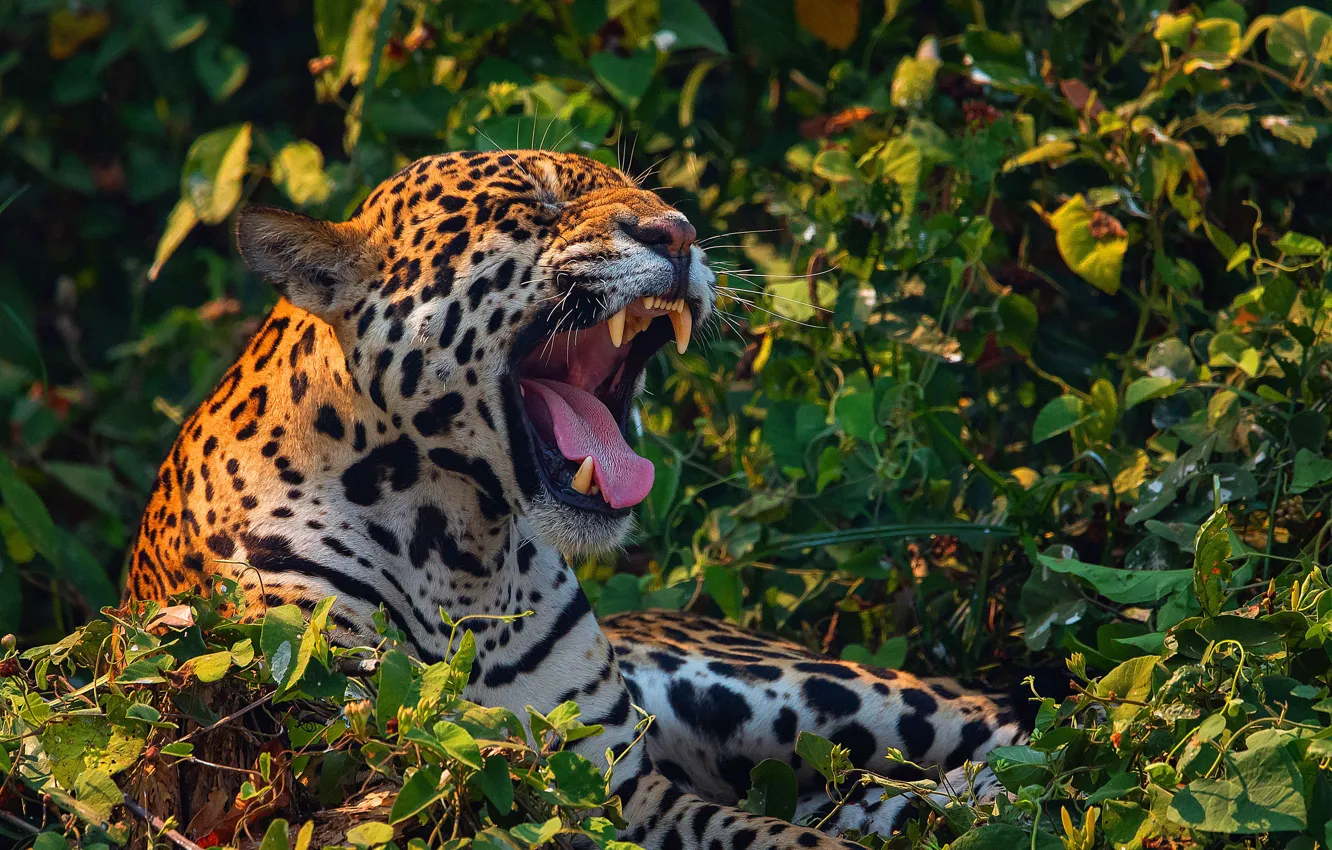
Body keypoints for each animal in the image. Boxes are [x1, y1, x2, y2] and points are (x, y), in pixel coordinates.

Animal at [127, 149, 1024, 849]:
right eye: (535, 204)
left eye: (652, 197)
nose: (678, 232)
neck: (463, 553)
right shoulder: (376, 761)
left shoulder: (618, 785)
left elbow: (764, 833)